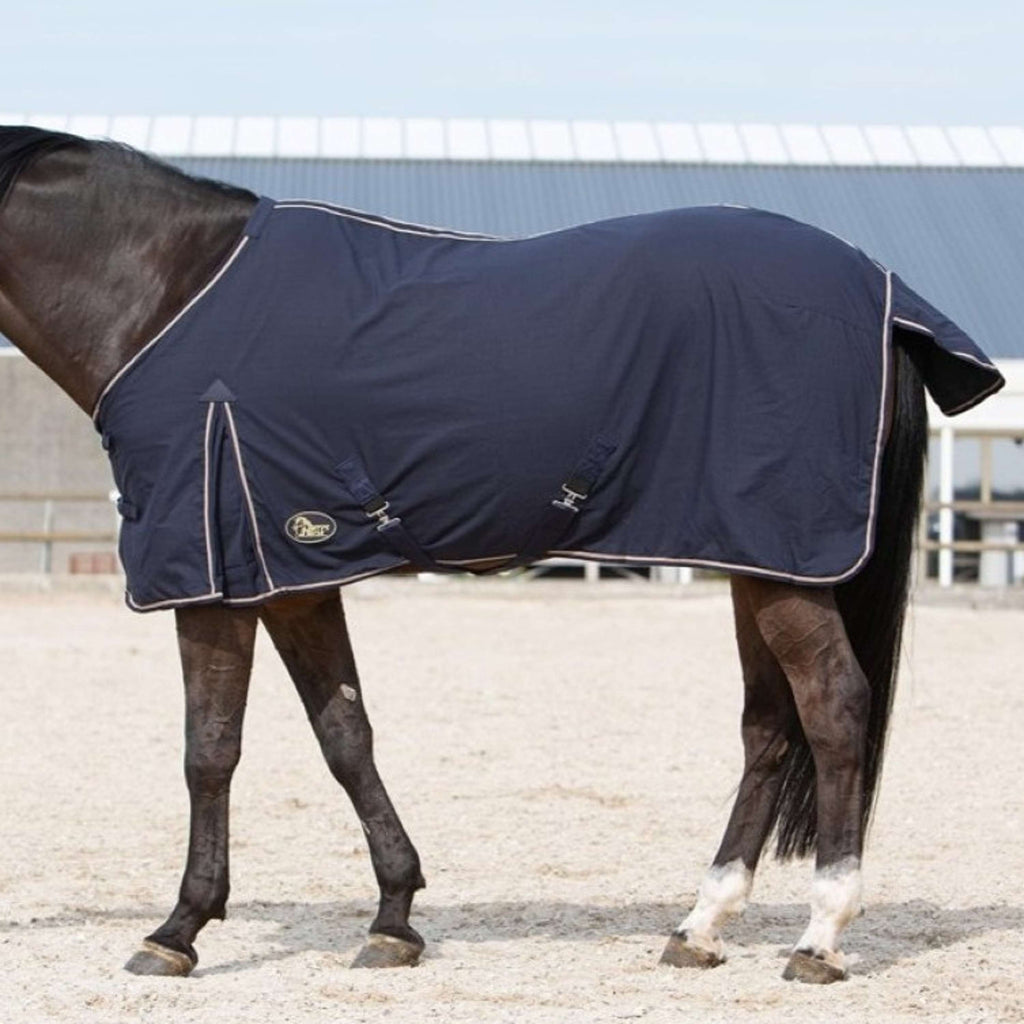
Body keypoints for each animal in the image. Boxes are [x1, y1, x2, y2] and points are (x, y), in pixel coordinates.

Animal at [0, 125, 1003, 985]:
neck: (167, 294)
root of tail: (879, 289)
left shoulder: (210, 582)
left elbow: (209, 751)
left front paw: (177, 931)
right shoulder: (292, 579)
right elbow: (345, 736)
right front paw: (394, 918)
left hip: (781, 563)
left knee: (832, 708)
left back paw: (820, 937)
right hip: (757, 561)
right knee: (768, 725)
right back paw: (700, 925)